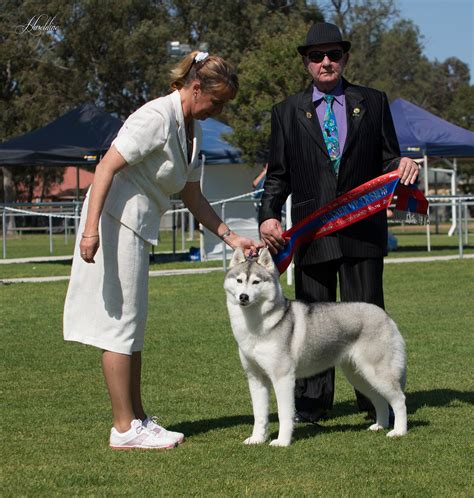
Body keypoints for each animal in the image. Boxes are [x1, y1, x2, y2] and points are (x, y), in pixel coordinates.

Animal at [223, 249, 408, 448]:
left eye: (256, 282)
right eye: (239, 280)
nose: (243, 297)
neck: (255, 326)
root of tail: (385, 315)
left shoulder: (283, 378)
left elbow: (284, 414)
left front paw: (282, 441)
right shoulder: (256, 379)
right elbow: (259, 415)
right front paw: (257, 439)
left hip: (377, 374)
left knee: (399, 400)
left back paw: (399, 431)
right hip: (359, 376)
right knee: (380, 400)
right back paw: (380, 425)